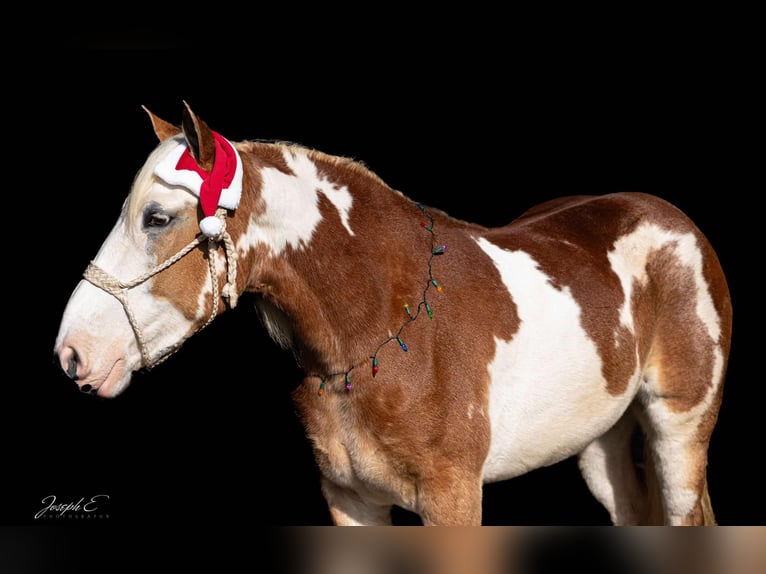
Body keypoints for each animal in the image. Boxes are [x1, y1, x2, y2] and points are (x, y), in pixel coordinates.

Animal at [54, 101, 732, 526]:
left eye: (157, 218)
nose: (73, 353)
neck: (382, 332)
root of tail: (674, 220)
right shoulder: (350, 501)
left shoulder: (453, 500)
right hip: (600, 444)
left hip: (679, 431)